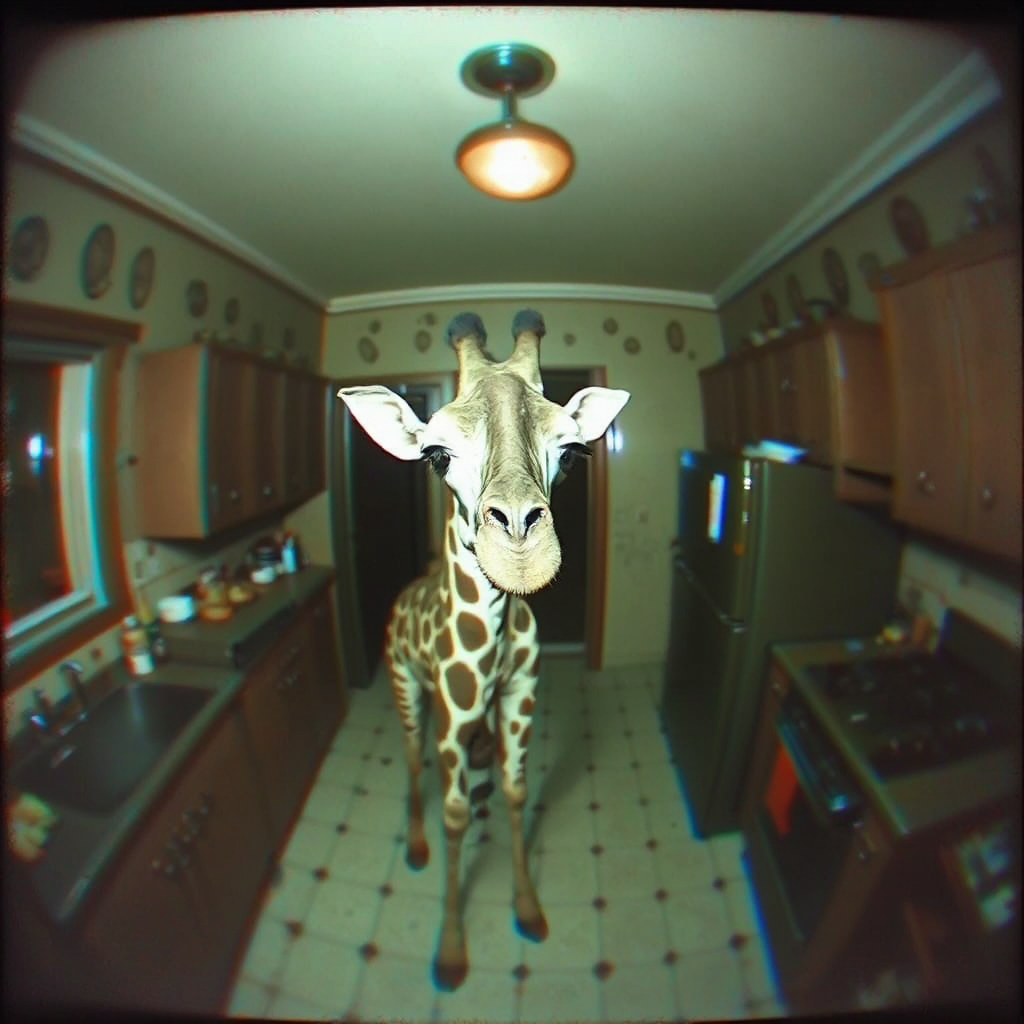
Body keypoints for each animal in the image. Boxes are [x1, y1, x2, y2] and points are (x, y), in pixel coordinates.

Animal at [337, 309, 629, 990]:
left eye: (572, 451)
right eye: (436, 455)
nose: (521, 549)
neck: (491, 647)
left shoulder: (520, 696)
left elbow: (518, 790)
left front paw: (527, 908)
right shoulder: (453, 714)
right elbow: (451, 815)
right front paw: (450, 953)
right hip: (406, 688)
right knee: (412, 757)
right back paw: (418, 845)